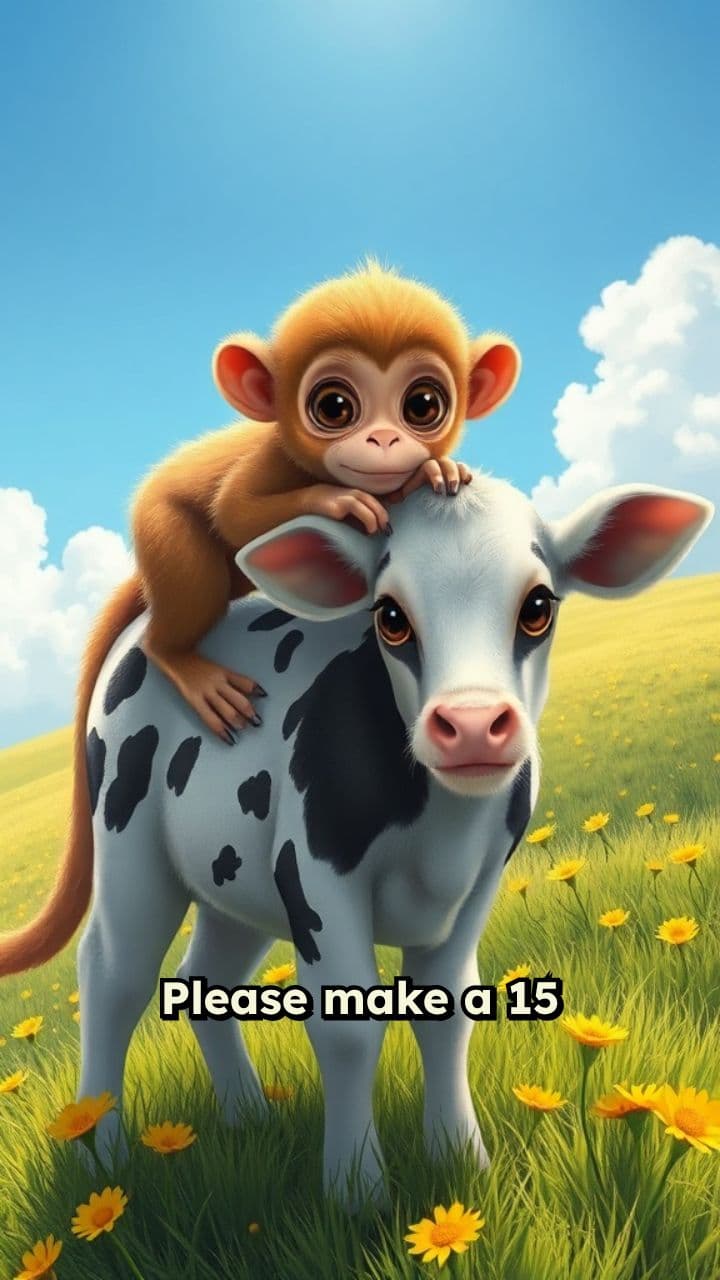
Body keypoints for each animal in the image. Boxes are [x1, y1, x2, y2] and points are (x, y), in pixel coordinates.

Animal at [26, 476, 719, 1201]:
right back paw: (100, 1152)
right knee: (114, 974)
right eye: (389, 615)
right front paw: (356, 1191)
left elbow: (448, 1011)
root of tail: (152, 629)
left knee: (205, 978)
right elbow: (348, 1024)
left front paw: (459, 1161)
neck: (442, 829)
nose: (472, 725)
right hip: (132, 852)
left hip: (233, 876)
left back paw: (249, 1117)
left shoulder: (477, 885)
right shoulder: (315, 873)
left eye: (537, 605)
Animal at [86, 262, 523, 747]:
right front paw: (340, 499)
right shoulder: (273, 456)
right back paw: (182, 661)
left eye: (422, 405)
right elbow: (233, 511)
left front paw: (435, 470)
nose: (384, 439)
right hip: (161, 528)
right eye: (334, 406)